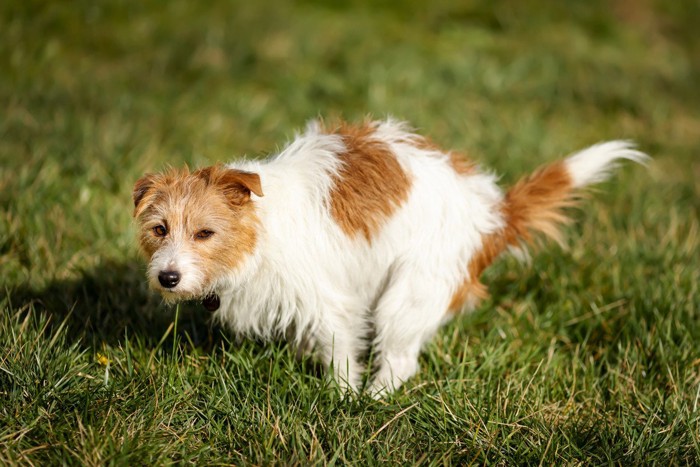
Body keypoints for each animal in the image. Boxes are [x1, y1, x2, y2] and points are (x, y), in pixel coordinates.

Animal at [134, 119, 648, 396]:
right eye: (159, 229)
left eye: (205, 233)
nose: (168, 277)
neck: (258, 231)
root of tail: (493, 213)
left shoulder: (332, 302)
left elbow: (341, 355)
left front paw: (342, 398)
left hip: (409, 293)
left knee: (401, 361)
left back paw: (374, 400)